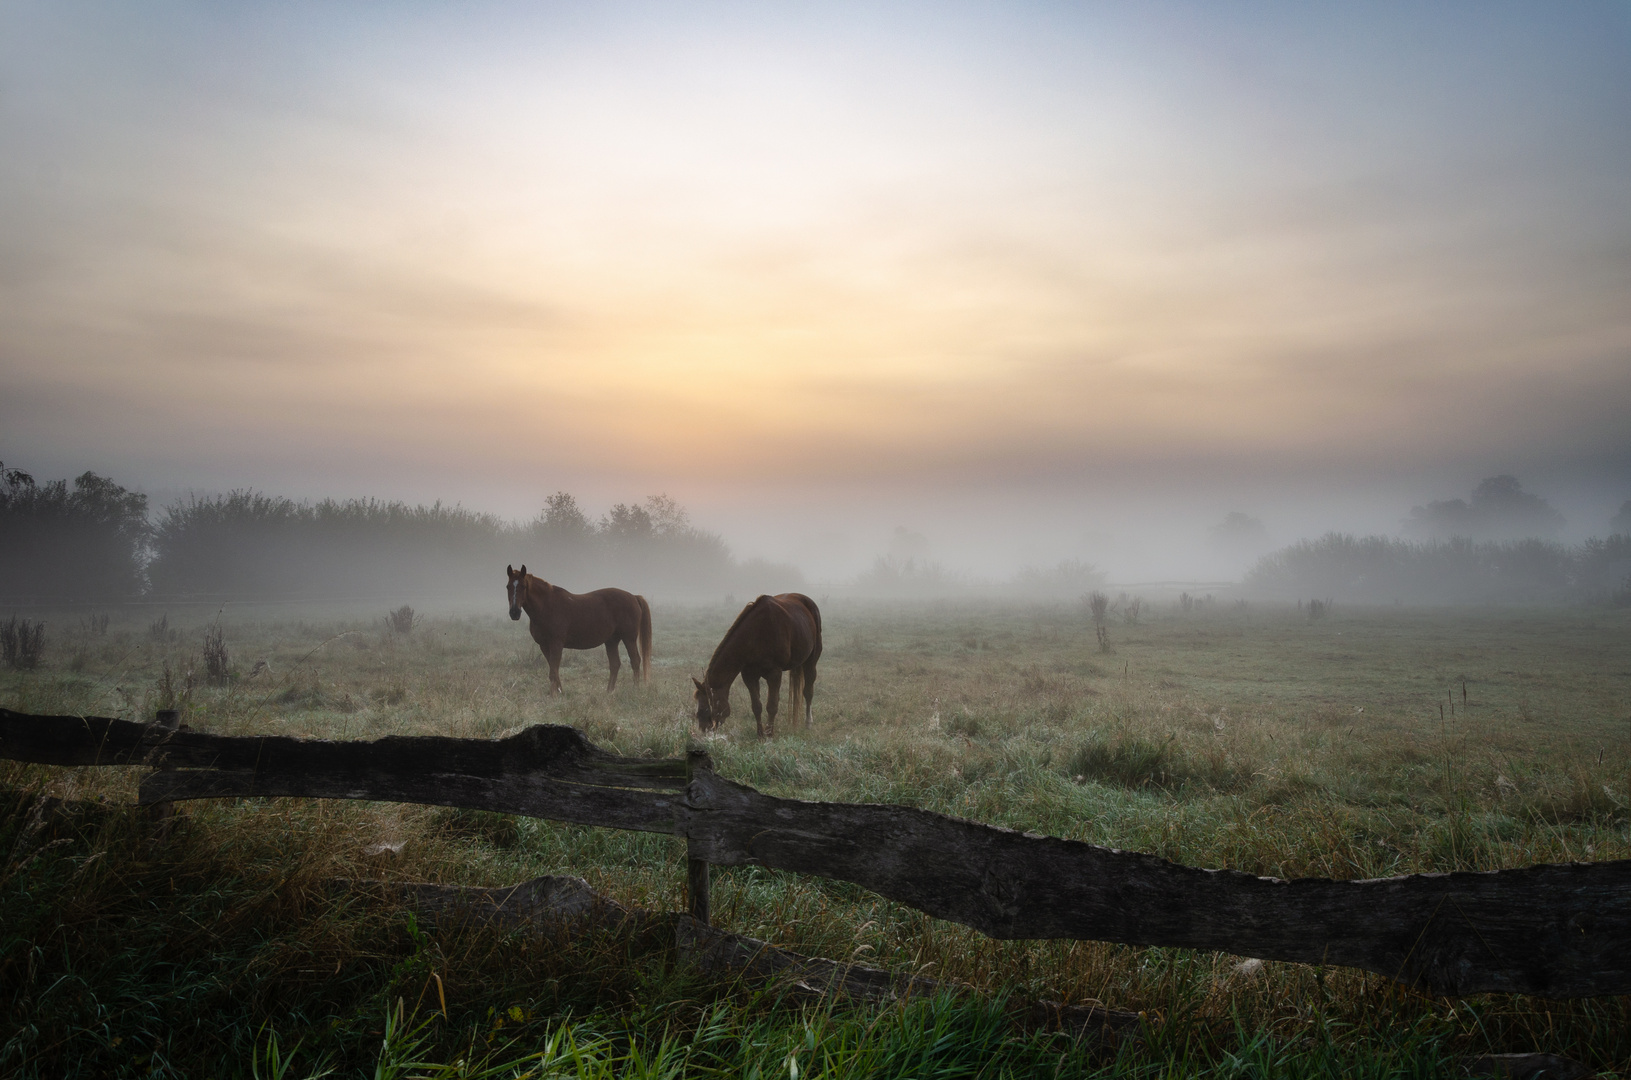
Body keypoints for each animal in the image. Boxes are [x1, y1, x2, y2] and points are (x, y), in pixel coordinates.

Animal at [502, 567, 649, 694]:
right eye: (508, 586)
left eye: (523, 586)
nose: (514, 612)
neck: (546, 606)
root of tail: (633, 597)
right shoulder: (544, 645)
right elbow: (553, 669)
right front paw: (559, 692)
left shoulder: (556, 644)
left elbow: (553, 671)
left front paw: (554, 695)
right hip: (611, 641)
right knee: (615, 664)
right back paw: (609, 691)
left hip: (629, 638)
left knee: (635, 661)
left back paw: (635, 689)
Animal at [694, 597, 822, 740]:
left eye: (705, 709)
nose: (704, 732)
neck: (756, 634)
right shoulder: (749, 676)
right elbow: (756, 706)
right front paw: (760, 735)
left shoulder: (774, 674)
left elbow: (772, 705)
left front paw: (769, 735)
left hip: (811, 662)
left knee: (808, 691)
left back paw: (808, 723)